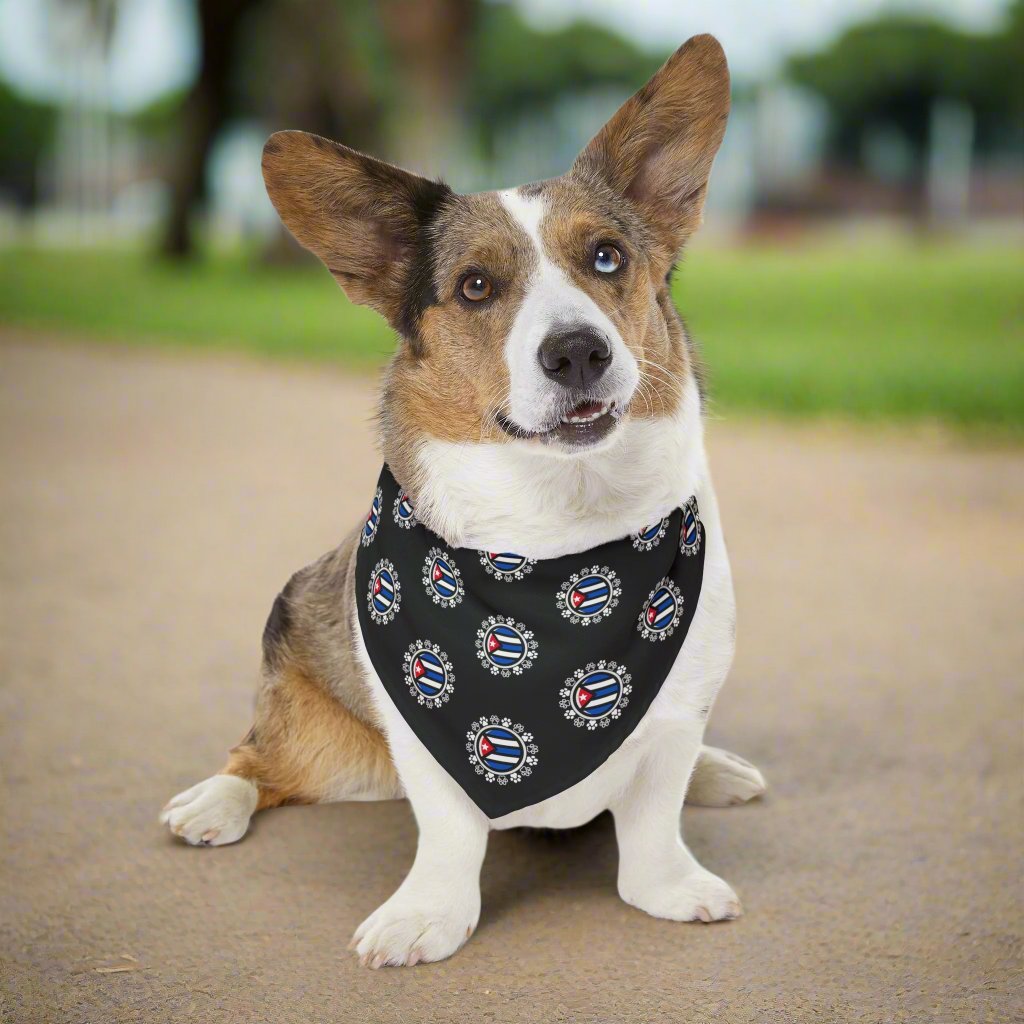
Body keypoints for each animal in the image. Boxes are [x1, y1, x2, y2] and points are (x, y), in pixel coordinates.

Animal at [161, 34, 770, 966]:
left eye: (607, 258)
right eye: (476, 287)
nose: (578, 352)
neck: (559, 550)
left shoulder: (676, 712)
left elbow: (654, 816)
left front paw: (670, 886)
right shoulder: (429, 738)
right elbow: (448, 832)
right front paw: (426, 916)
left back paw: (719, 771)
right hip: (316, 733)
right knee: (260, 760)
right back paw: (213, 802)